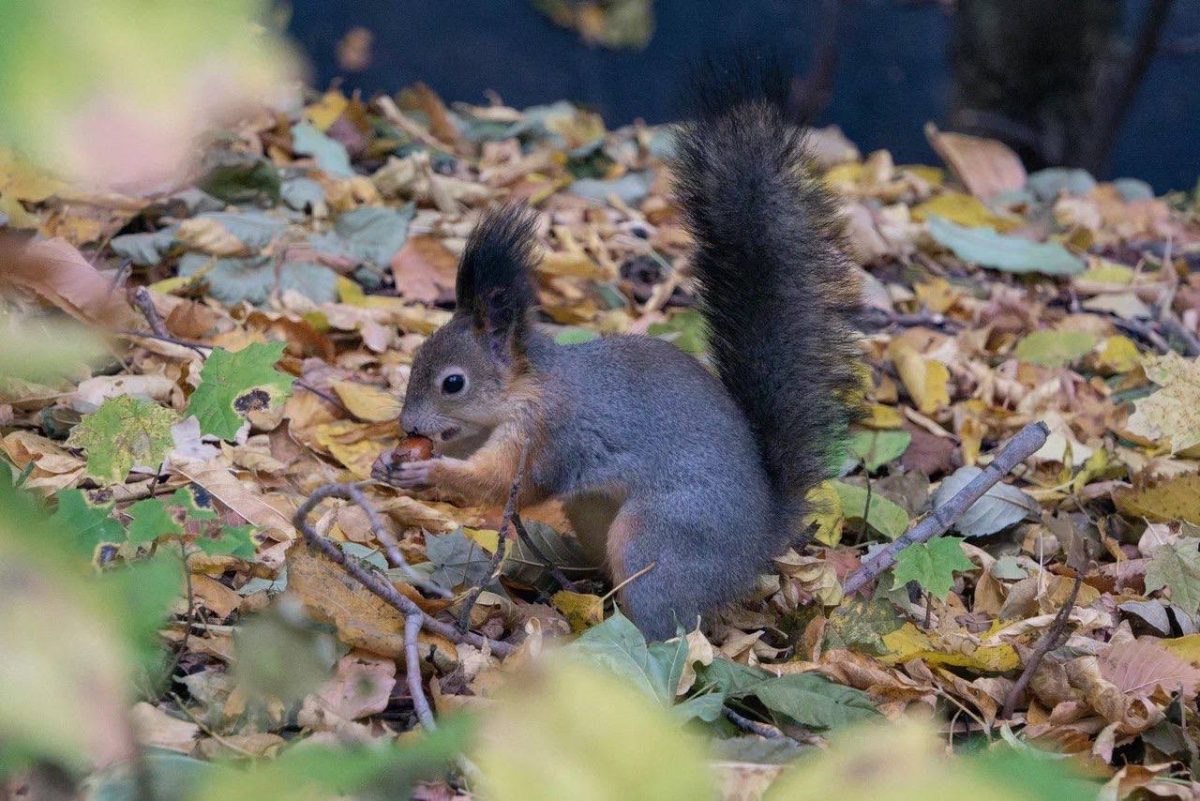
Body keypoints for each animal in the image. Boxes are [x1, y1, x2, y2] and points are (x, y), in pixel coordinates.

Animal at [374, 59, 864, 642]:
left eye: (453, 383)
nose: (407, 425)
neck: (531, 385)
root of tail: (761, 541)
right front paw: (389, 460)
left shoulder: (551, 434)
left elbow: (506, 484)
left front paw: (430, 474)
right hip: (592, 512)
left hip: (657, 538)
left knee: (666, 621)